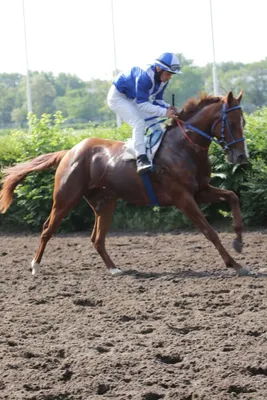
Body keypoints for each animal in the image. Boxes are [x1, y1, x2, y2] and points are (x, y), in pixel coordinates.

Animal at [0, 90, 251, 276]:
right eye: (231, 122)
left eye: (244, 121)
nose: (241, 156)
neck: (182, 147)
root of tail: (69, 151)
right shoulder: (183, 198)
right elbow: (210, 231)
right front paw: (235, 264)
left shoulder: (201, 190)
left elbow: (232, 196)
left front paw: (238, 241)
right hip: (65, 199)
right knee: (47, 229)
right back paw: (35, 266)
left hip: (105, 202)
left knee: (97, 238)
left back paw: (114, 269)